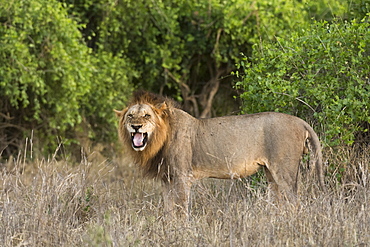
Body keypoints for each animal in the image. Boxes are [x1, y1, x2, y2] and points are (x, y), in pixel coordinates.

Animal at [114, 91, 326, 217]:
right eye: (130, 115)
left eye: (147, 115)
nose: (136, 126)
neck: (158, 140)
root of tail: (300, 121)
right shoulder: (166, 178)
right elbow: (169, 210)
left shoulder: (182, 176)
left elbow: (181, 208)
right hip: (271, 174)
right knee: (279, 202)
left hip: (284, 171)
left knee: (295, 203)